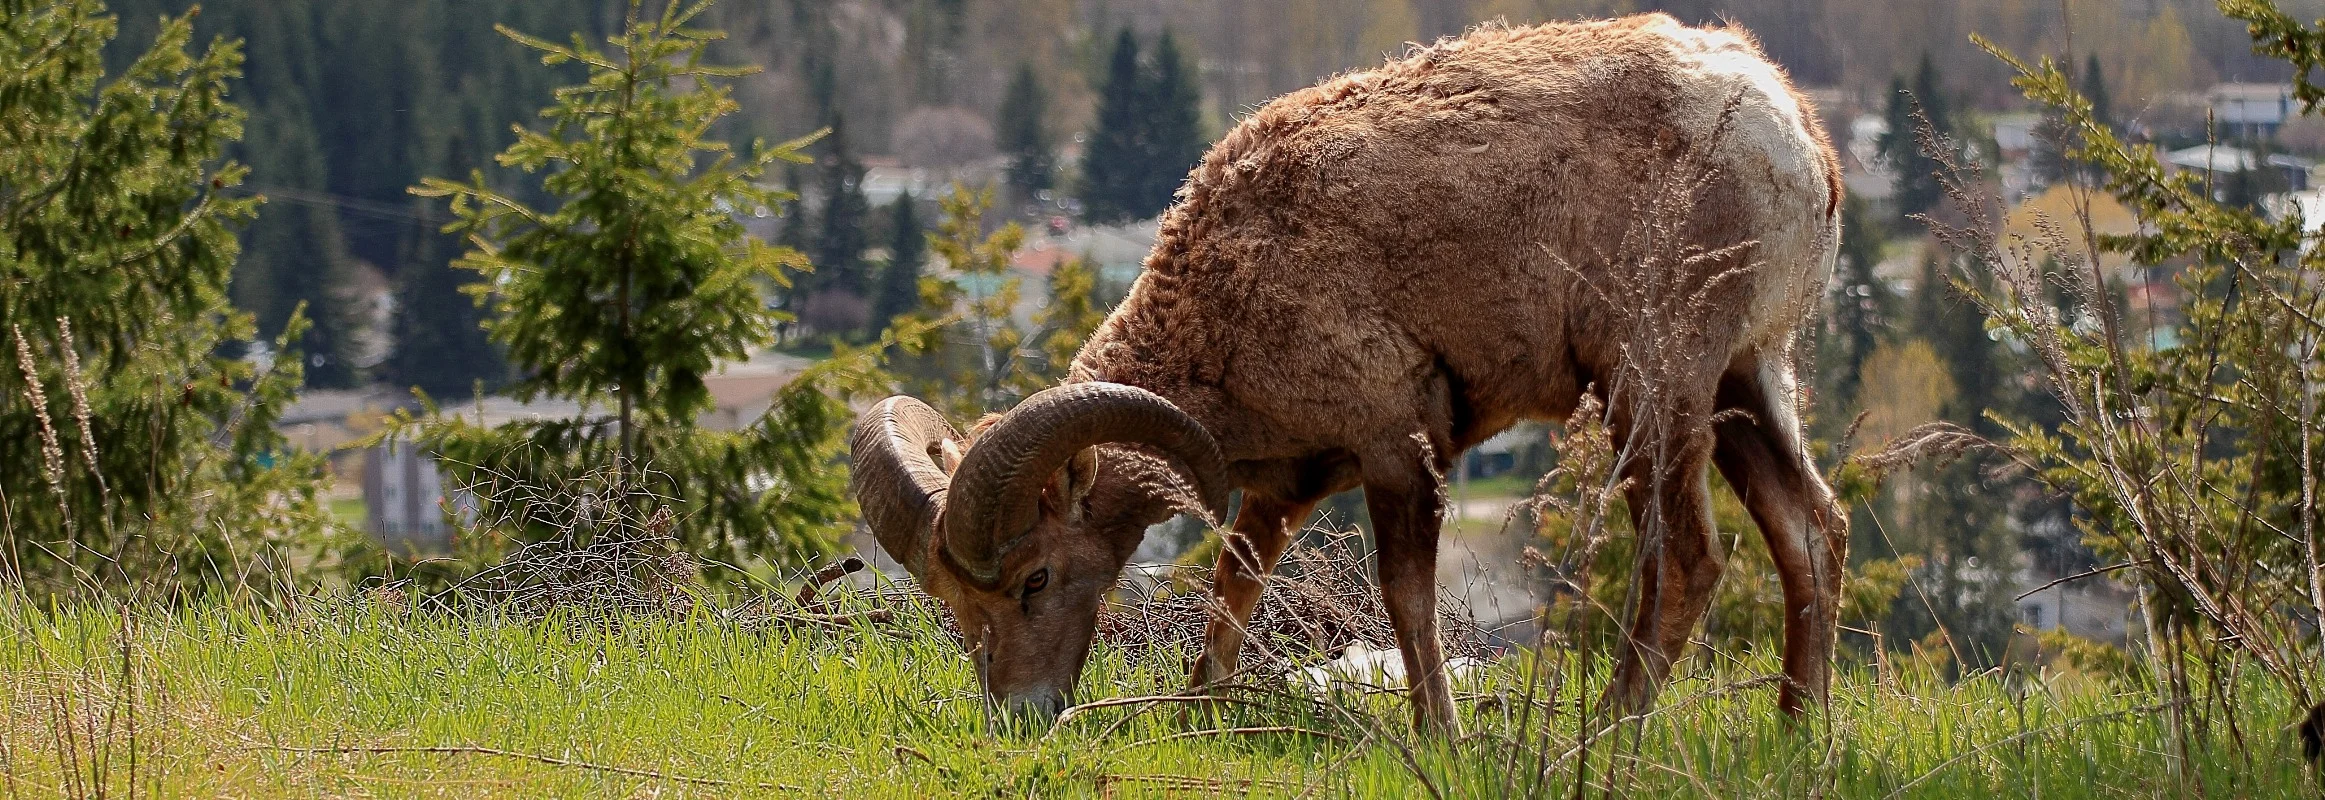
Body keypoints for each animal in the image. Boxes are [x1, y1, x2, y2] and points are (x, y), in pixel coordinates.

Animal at [851, 13, 1846, 734]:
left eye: (1036, 580)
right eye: (953, 604)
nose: (1019, 715)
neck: (1229, 286)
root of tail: (1790, 138)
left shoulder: (1396, 446)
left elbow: (1405, 597)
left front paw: (1439, 735)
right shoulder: (1287, 485)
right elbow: (1235, 585)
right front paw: (1196, 711)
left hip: (1653, 386)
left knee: (1687, 559)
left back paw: (1603, 731)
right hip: (1746, 380)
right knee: (1812, 531)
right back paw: (1796, 730)